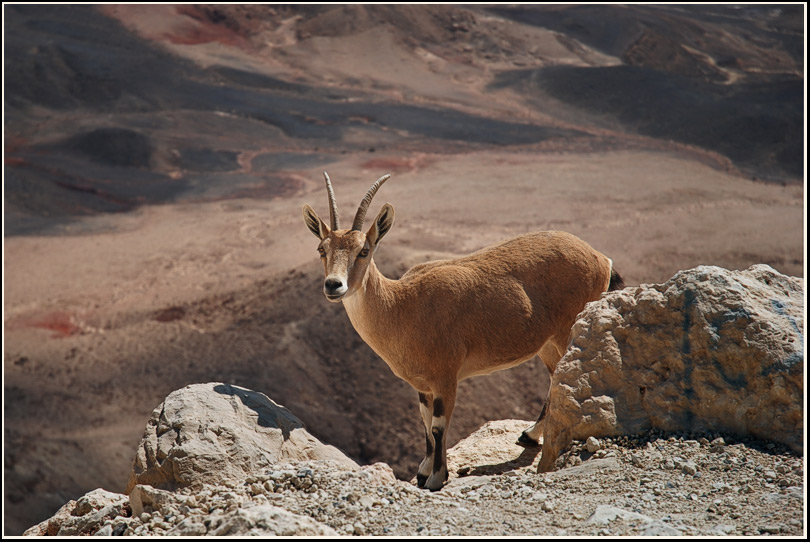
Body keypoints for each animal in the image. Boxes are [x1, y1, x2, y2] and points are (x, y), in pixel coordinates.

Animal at [300, 174, 620, 492]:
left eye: (363, 251)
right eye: (321, 249)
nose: (334, 285)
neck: (402, 308)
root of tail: (601, 258)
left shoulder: (446, 378)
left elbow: (438, 426)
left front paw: (436, 477)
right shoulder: (423, 386)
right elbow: (425, 422)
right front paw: (424, 470)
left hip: (568, 332)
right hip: (548, 343)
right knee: (555, 378)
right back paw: (529, 434)